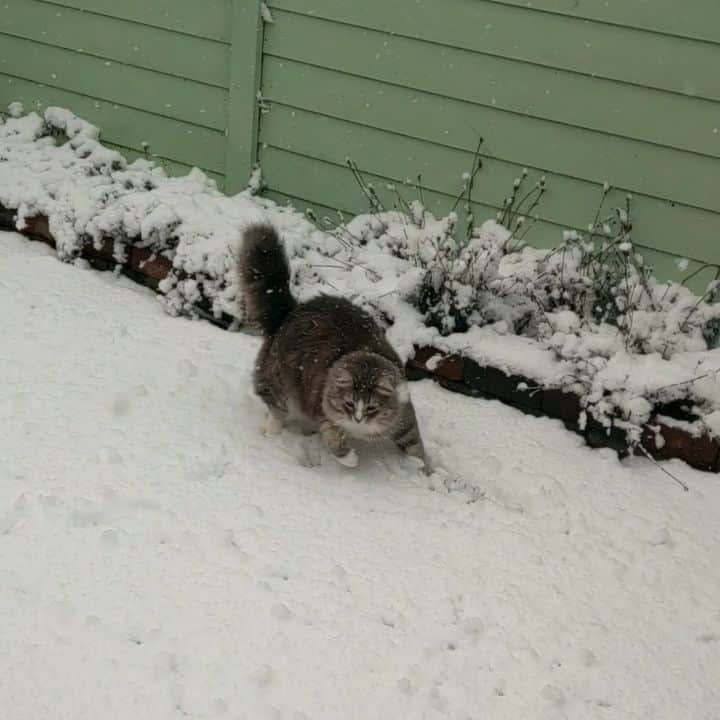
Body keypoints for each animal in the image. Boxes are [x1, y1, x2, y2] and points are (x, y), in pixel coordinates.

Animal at [239, 222, 424, 470]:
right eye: (349, 404)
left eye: (371, 408)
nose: (358, 419)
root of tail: (292, 310)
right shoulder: (324, 411)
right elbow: (334, 439)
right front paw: (350, 459)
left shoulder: (405, 418)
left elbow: (415, 446)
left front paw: (422, 468)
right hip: (279, 384)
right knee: (275, 408)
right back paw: (272, 431)